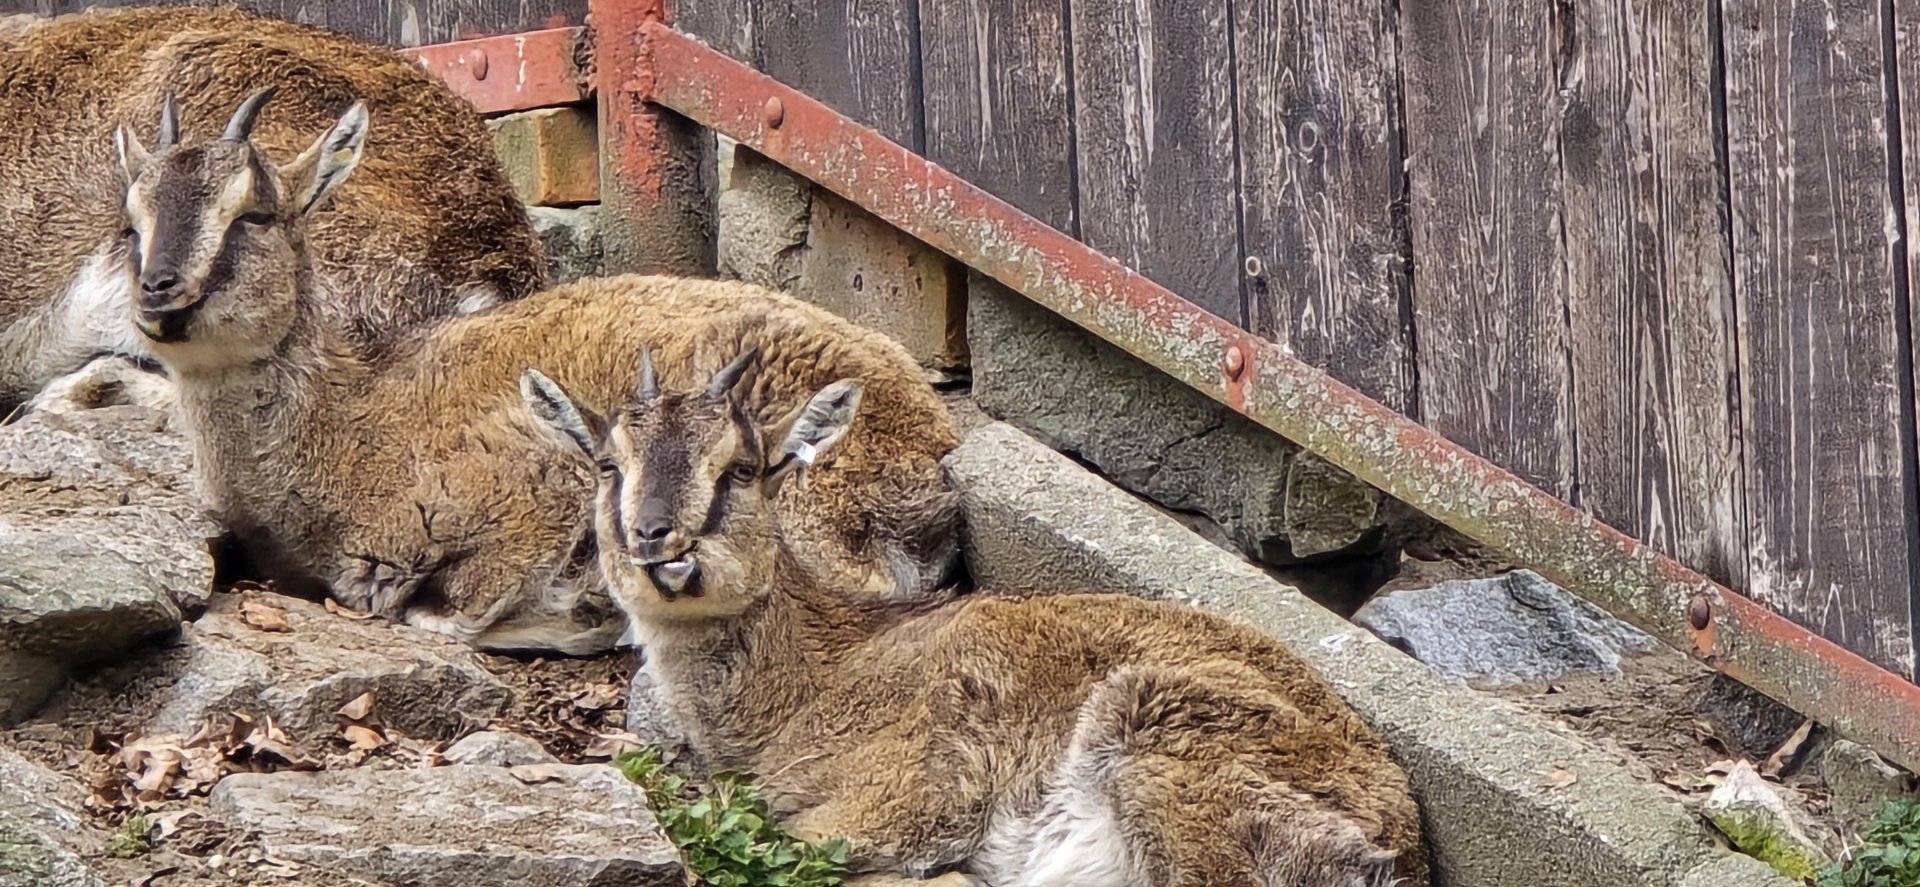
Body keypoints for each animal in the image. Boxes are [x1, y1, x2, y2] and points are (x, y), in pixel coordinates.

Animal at [121, 94, 961, 655]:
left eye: (252, 214)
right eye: (131, 222)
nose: (160, 295)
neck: (349, 427)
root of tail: (930, 449)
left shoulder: (530, 493)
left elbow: (445, 614)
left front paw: (581, 614)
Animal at [523, 357, 1432, 887]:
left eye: (741, 467)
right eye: (607, 463)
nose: (656, 539)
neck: (813, 677)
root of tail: (1400, 843)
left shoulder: (912, 792)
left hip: (1161, 741)